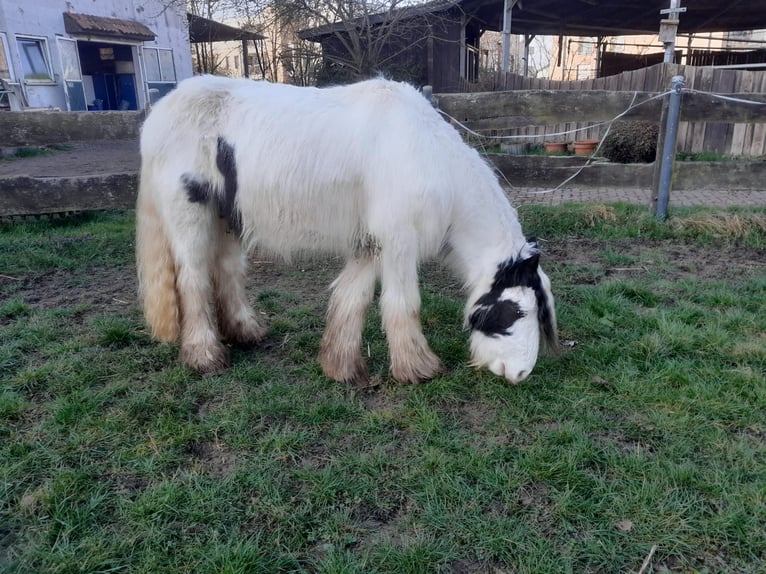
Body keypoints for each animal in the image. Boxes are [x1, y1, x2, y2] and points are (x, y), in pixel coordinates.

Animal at [135, 74, 560, 384]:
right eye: (516, 312)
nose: (520, 374)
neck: (431, 157)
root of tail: (158, 115)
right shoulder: (399, 241)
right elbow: (402, 303)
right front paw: (417, 369)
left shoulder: (371, 244)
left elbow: (351, 299)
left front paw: (340, 366)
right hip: (192, 215)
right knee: (193, 279)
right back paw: (204, 357)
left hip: (226, 219)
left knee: (225, 272)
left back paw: (245, 332)